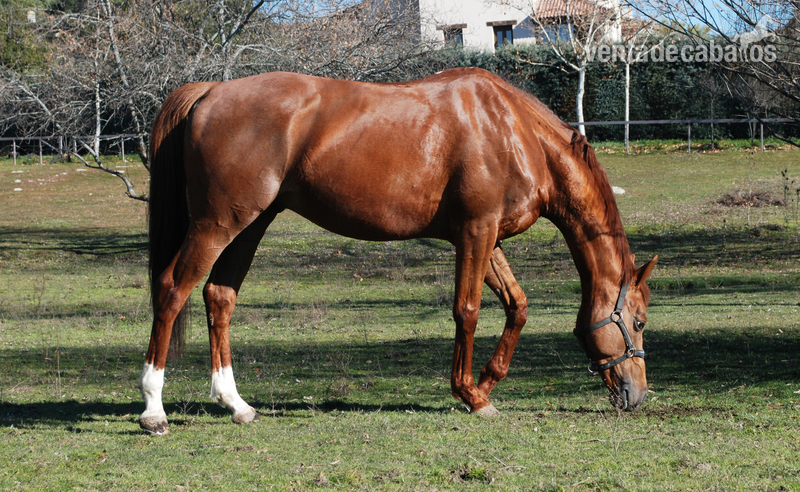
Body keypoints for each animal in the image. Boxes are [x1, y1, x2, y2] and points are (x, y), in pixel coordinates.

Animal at [138, 68, 658, 435]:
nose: (637, 394)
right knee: (171, 290)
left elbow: (518, 306)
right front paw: (469, 393)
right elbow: (467, 310)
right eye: (637, 323)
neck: (514, 130)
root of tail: (211, 90)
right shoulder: (475, 232)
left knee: (219, 297)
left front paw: (485, 385)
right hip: (217, 225)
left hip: (248, 225)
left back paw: (237, 404)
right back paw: (153, 410)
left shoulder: (487, 239)